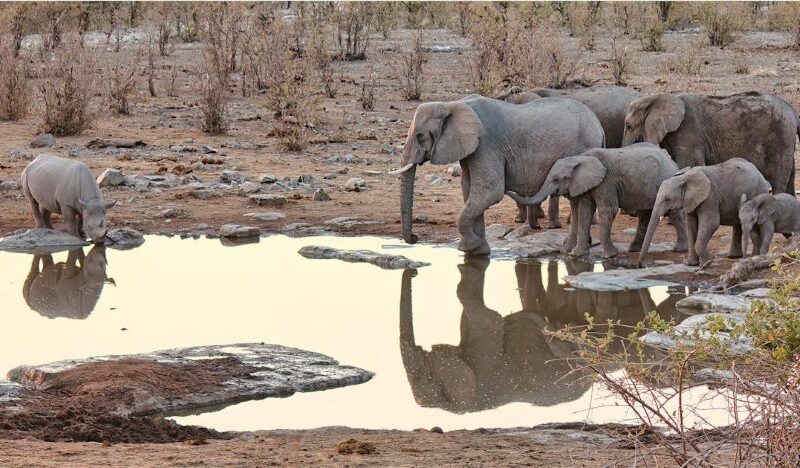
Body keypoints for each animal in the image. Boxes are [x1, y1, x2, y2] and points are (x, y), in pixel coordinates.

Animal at [395, 95, 605, 255]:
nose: (415, 238)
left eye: (420, 136)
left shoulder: (486, 144)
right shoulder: (472, 148)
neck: (452, 104)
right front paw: (479, 252)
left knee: (576, 200)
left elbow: (489, 192)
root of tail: (599, 125)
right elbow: (470, 190)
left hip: (582, 149)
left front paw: (469, 247)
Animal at [506, 143, 687, 258]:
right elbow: (585, 210)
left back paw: (679, 250)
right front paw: (577, 254)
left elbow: (608, 210)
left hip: (666, 180)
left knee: (673, 213)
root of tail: (670, 159)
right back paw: (634, 249)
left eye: (557, 179)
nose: (507, 188)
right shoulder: (588, 184)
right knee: (645, 214)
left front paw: (610, 256)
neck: (580, 158)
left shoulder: (606, 182)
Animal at [621, 91, 799, 196]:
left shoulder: (688, 133)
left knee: (778, 179)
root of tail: (793, 111)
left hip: (780, 137)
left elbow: (688, 164)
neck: (657, 97)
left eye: (629, 126)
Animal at [638, 158, 771, 266]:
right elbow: (691, 226)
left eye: (667, 199)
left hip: (757, 193)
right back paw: (734, 256)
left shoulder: (709, 196)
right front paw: (691, 264)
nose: (641, 265)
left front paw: (709, 261)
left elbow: (711, 223)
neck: (684, 178)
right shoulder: (691, 200)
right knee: (738, 223)